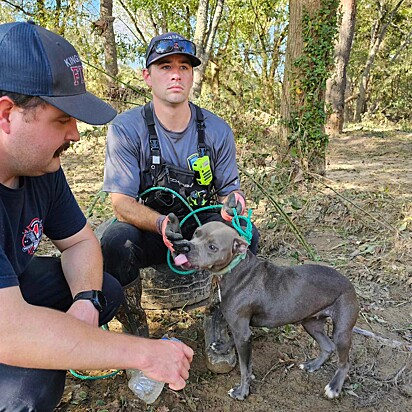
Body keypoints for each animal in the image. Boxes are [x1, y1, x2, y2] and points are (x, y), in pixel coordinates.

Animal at [175, 222, 358, 400]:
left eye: (212, 247)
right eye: (196, 233)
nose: (185, 247)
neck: (235, 268)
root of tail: (349, 283)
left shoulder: (242, 332)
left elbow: (245, 368)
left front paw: (242, 392)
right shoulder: (240, 329)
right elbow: (233, 340)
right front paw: (221, 348)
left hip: (341, 332)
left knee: (344, 362)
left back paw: (334, 387)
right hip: (311, 323)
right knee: (327, 346)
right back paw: (312, 365)